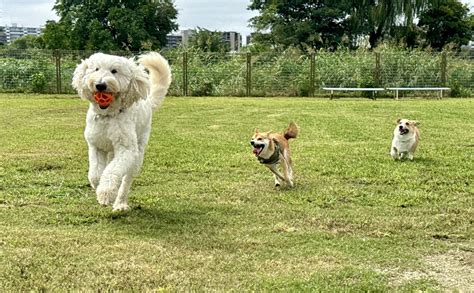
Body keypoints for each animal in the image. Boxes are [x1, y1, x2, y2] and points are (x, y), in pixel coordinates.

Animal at [71, 52, 170, 210]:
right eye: (96, 69)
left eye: (114, 71)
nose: (100, 85)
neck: (108, 116)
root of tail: (148, 102)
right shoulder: (96, 146)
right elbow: (96, 173)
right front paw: (97, 185)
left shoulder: (126, 150)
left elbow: (112, 171)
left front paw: (105, 193)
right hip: (111, 151)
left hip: (137, 155)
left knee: (126, 181)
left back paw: (120, 203)